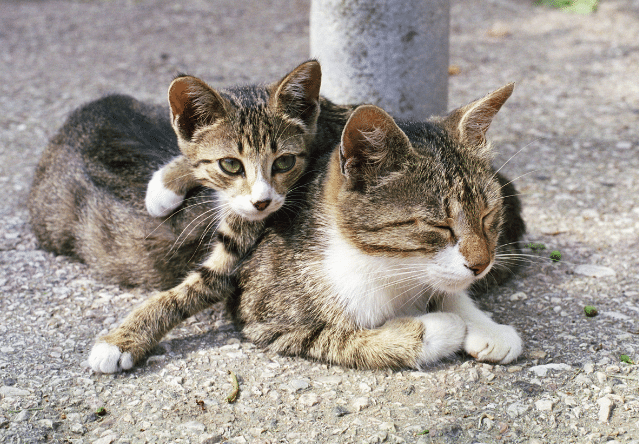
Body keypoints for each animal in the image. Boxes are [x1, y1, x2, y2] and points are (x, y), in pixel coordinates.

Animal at [87, 83, 526, 372]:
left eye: (489, 215)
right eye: (438, 225)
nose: (482, 264)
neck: (390, 269)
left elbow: (448, 288)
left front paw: (482, 324)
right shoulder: (264, 319)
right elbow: (339, 339)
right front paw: (438, 329)